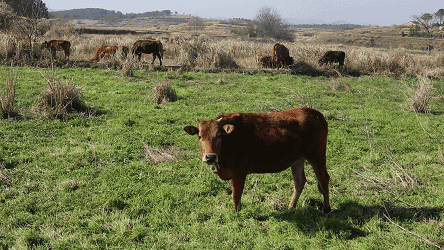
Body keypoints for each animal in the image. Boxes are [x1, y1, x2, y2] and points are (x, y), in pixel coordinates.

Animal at [184, 107, 330, 213]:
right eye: (200, 136)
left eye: (219, 135)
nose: (210, 157)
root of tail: (314, 113)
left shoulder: (239, 174)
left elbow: (236, 195)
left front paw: (235, 214)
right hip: (297, 160)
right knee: (299, 182)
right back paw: (291, 207)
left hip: (317, 156)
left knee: (323, 179)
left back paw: (326, 208)